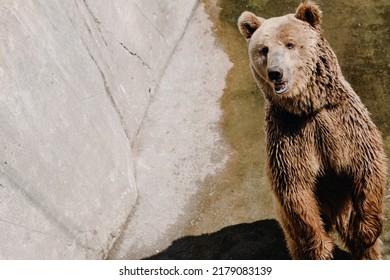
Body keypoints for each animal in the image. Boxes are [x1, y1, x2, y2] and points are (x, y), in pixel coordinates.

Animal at [238, 1, 386, 260]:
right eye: (263, 49)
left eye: (290, 44)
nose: (275, 73)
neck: (308, 107)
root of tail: (336, 220)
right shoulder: (289, 137)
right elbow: (295, 186)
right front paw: (322, 247)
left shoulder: (343, 124)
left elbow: (367, 165)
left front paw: (367, 230)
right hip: (291, 225)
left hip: (348, 205)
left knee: (364, 245)